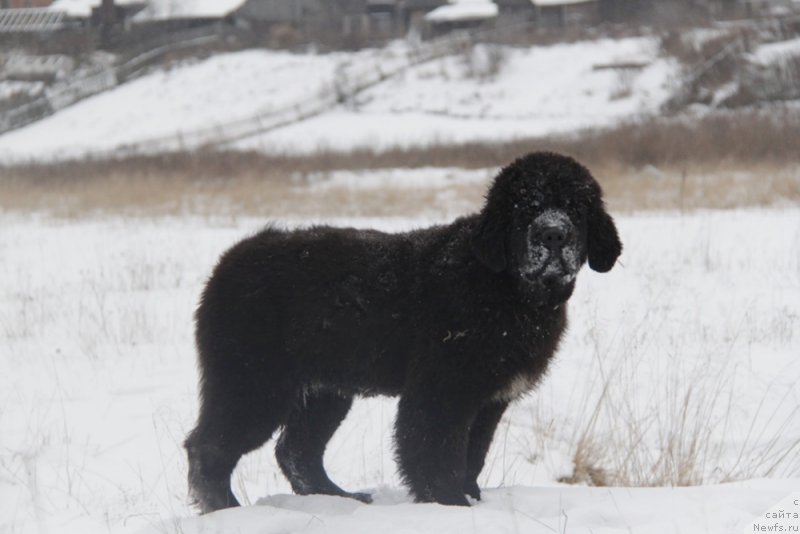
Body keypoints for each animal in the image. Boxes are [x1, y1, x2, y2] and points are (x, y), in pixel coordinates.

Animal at [184, 153, 620, 512]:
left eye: (576, 207)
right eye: (525, 207)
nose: (553, 234)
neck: (505, 288)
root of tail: (230, 259)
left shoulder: (488, 401)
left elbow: (472, 455)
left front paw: (472, 500)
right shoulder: (441, 390)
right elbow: (436, 453)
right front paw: (449, 504)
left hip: (324, 389)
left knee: (296, 451)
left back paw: (341, 498)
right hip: (253, 382)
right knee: (208, 447)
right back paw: (227, 511)